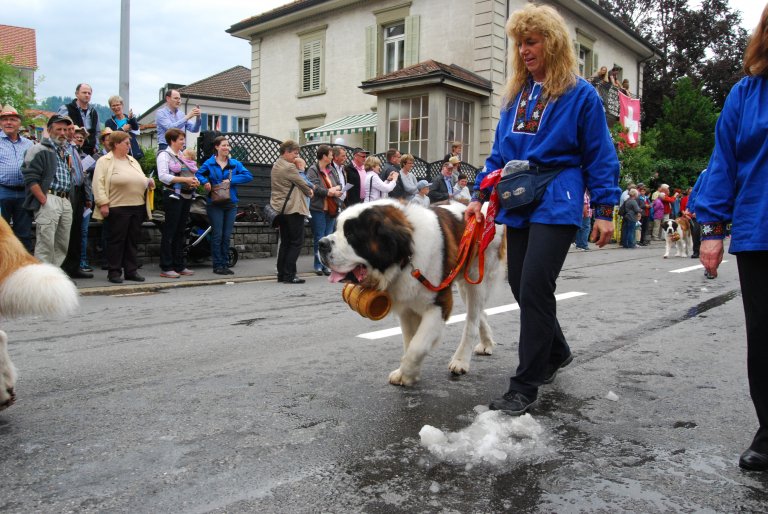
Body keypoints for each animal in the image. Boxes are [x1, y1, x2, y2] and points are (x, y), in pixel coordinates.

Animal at [316, 199, 504, 384]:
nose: (321, 244)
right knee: (480, 313)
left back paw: (460, 361)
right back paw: (486, 343)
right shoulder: (406, 307)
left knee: (472, 319)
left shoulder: (439, 304)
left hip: (477, 278)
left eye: (351, 235)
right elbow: (410, 340)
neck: (406, 259)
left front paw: (407, 373)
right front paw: (408, 372)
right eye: (336, 229)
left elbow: (417, 346)